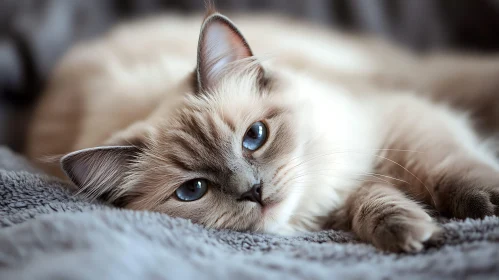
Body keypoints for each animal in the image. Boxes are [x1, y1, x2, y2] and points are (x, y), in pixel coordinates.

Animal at [25, 9, 499, 253]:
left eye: (254, 137)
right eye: (193, 190)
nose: (254, 191)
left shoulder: (393, 121)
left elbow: (448, 167)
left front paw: (486, 205)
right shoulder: (345, 189)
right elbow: (374, 202)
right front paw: (410, 232)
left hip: (423, 78)